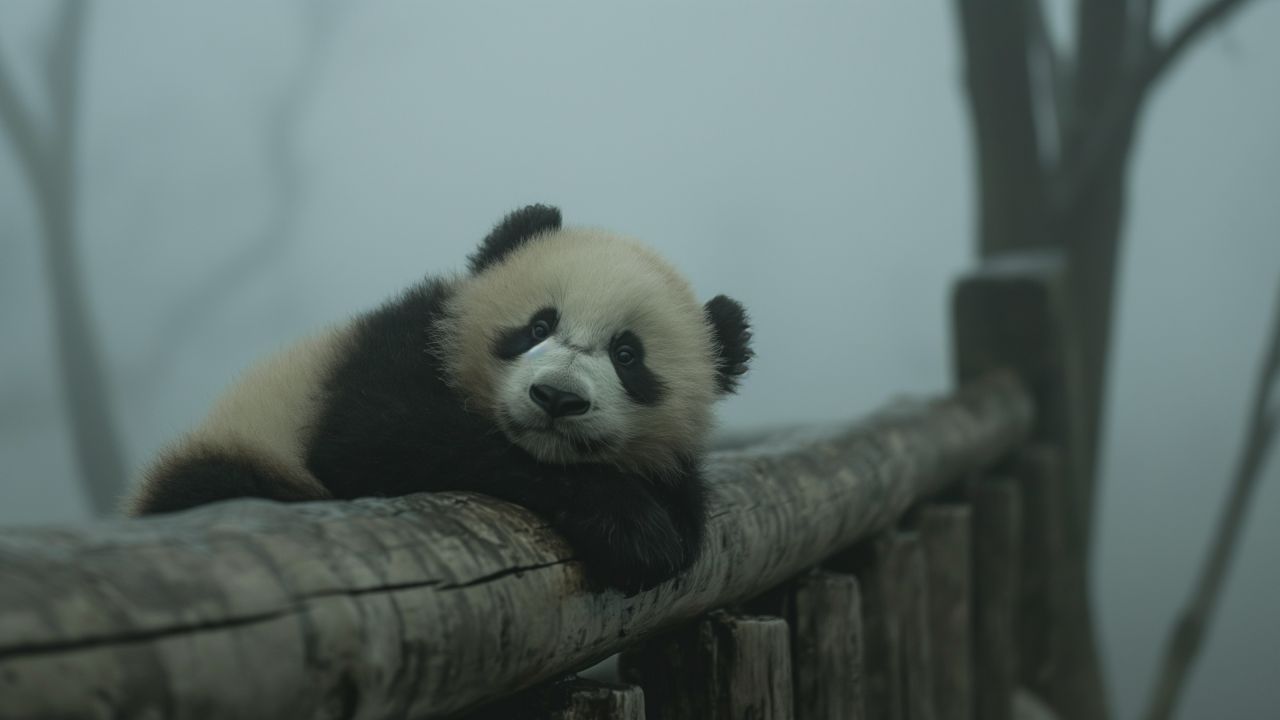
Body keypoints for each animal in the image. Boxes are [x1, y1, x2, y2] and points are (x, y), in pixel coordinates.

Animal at [128, 205, 753, 593]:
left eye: (628, 355)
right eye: (538, 325)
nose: (556, 397)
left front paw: (674, 512)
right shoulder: (391, 346)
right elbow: (383, 436)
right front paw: (637, 530)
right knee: (216, 484)